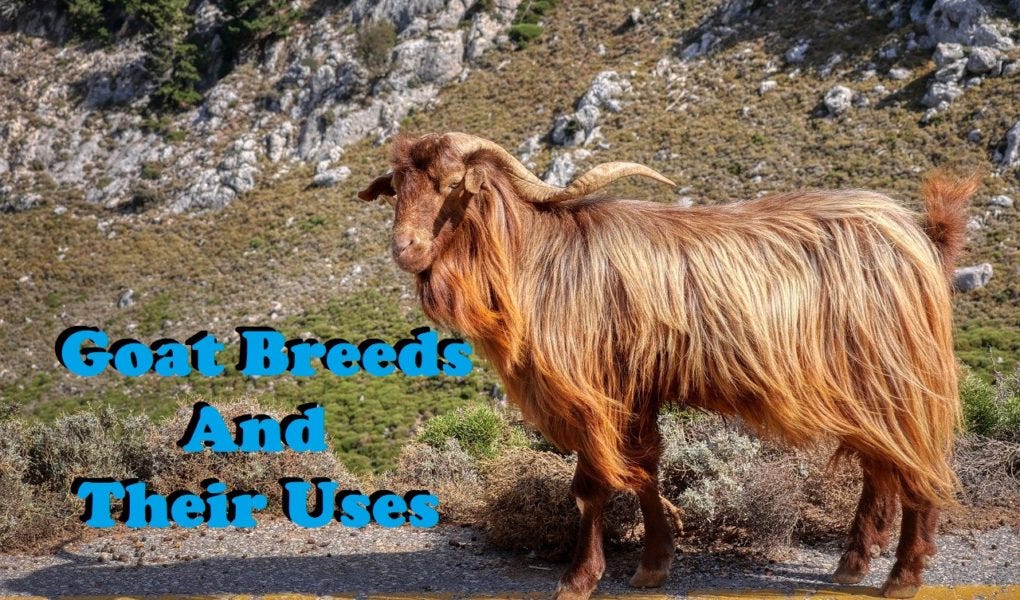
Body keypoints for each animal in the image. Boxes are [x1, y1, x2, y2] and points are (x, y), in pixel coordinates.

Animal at [358, 132, 974, 600]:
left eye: (451, 185)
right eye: (397, 188)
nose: (404, 249)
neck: (538, 261)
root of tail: (920, 233)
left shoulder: (601, 392)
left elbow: (593, 485)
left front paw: (579, 579)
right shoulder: (638, 391)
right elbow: (646, 468)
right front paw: (654, 564)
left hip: (899, 373)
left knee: (922, 464)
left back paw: (903, 576)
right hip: (865, 384)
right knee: (881, 464)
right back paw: (853, 563)